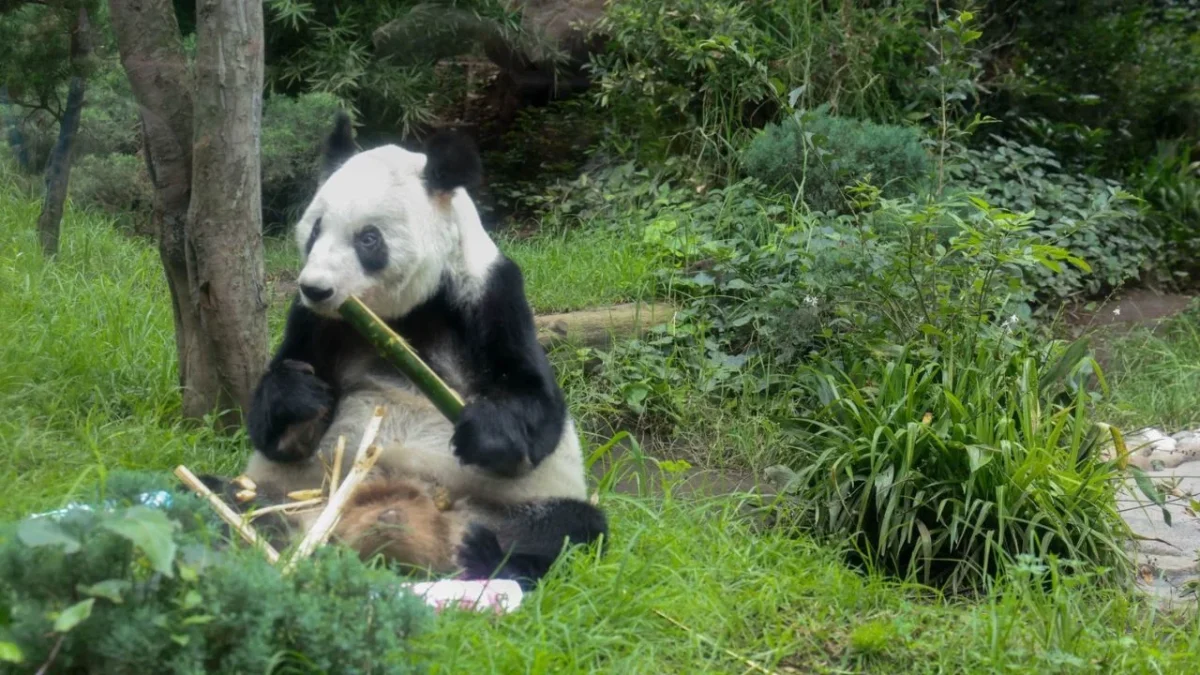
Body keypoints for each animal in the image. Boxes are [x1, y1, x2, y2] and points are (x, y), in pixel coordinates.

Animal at [206, 112, 607, 589]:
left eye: (369, 239)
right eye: (316, 229)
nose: (316, 288)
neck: (400, 316)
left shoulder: (489, 295)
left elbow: (536, 405)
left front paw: (485, 428)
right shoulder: (314, 321)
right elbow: (276, 432)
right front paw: (301, 396)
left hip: (513, 506)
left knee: (572, 530)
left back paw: (483, 553)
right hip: (293, 491)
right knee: (219, 495)